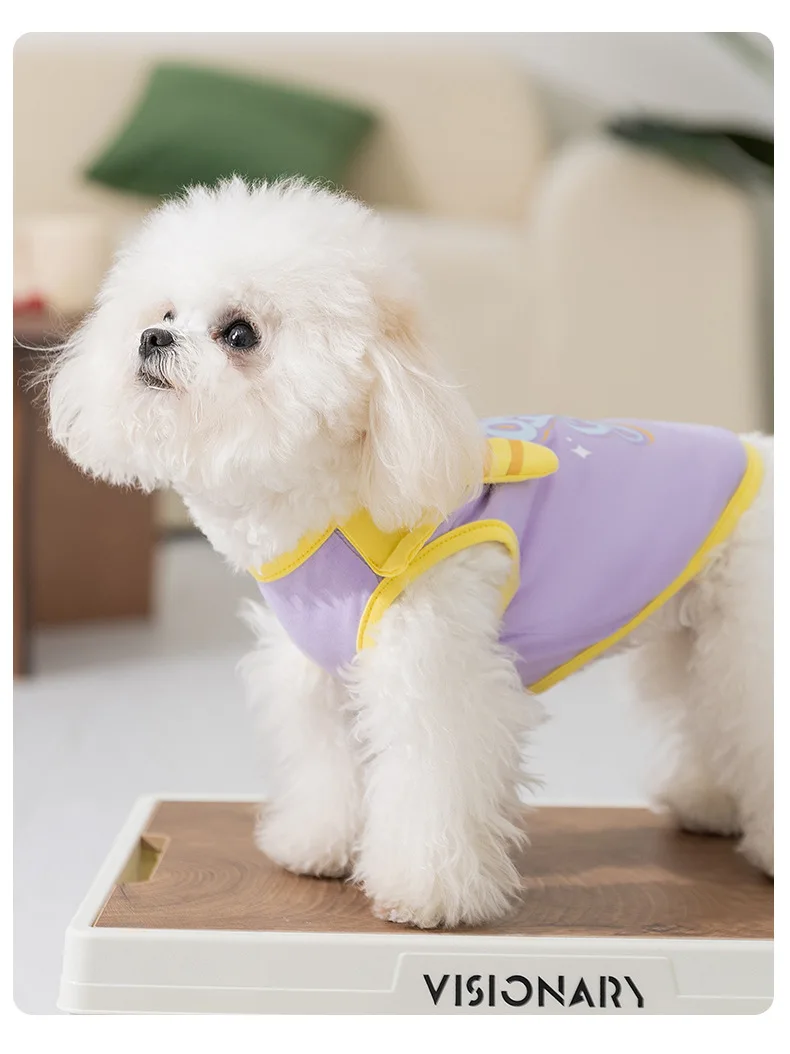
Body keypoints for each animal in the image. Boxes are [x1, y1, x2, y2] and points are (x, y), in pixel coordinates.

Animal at [47, 178, 773, 928]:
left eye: (239, 332)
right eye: (164, 312)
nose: (151, 338)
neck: (340, 507)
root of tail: (761, 450)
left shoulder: (435, 673)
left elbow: (431, 785)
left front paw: (429, 891)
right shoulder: (320, 674)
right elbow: (328, 769)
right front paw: (318, 844)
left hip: (749, 638)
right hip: (695, 644)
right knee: (712, 719)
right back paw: (709, 804)